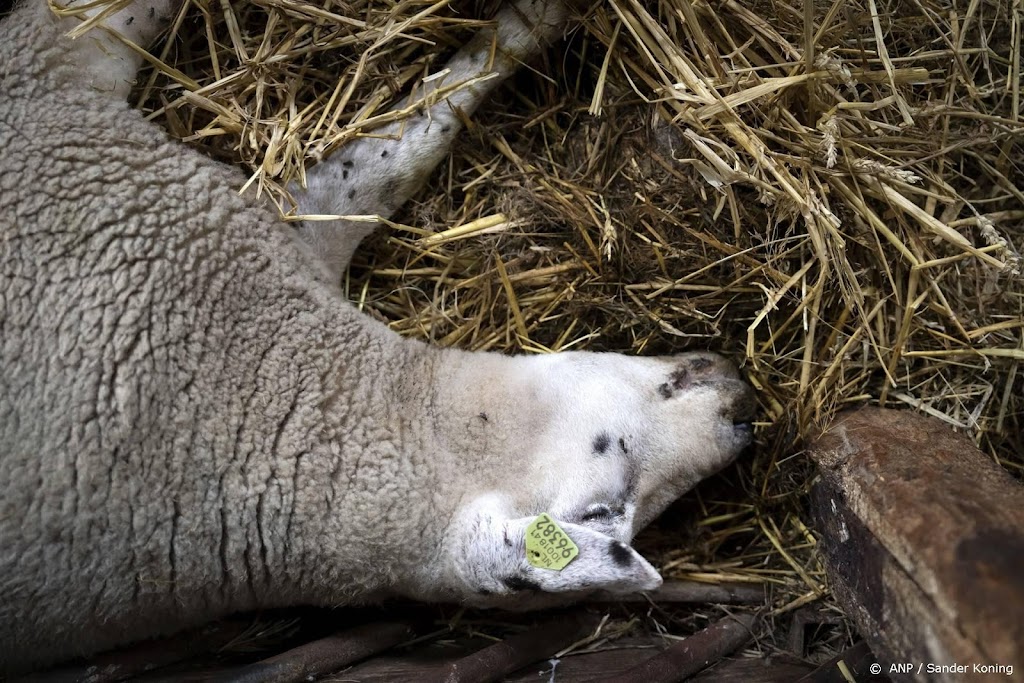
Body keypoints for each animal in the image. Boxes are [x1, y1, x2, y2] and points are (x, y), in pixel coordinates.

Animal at [0, 0, 757, 671]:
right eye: (609, 493)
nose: (744, 412)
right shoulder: (49, 79)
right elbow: (389, 154)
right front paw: (533, 19)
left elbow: (392, 156)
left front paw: (527, 23)